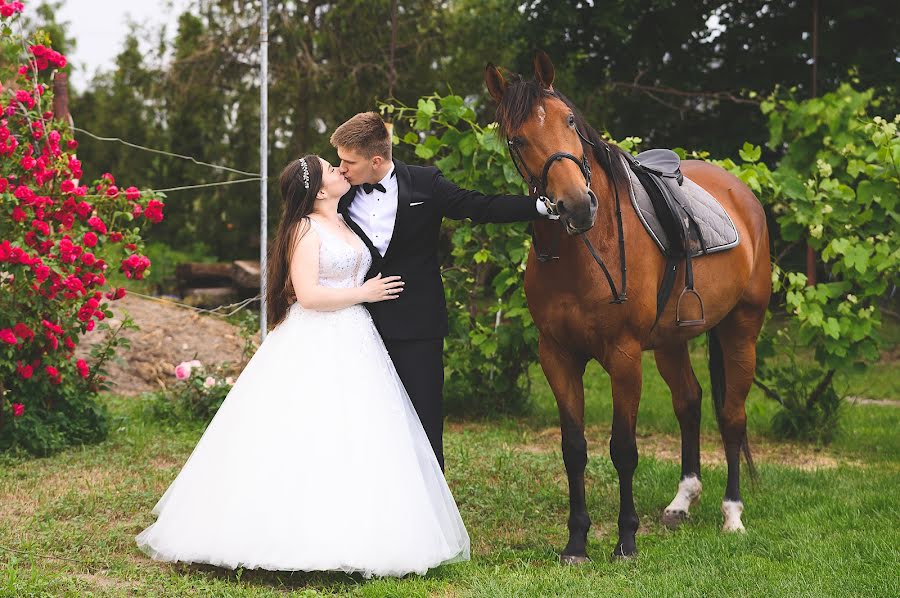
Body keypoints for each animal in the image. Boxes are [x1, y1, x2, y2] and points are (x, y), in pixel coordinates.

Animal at [486, 54, 772, 564]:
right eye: (516, 139)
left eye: (570, 120)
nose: (577, 205)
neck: (583, 252)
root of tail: (741, 194)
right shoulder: (556, 356)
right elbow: (574, 448)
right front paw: (577, 541)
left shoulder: (623, 356)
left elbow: (623, 448)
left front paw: (625, 540)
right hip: (673, 341)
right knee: (690, 403)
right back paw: (682, 502)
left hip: (742, 327)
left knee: (732, 416)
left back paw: (732, 515)